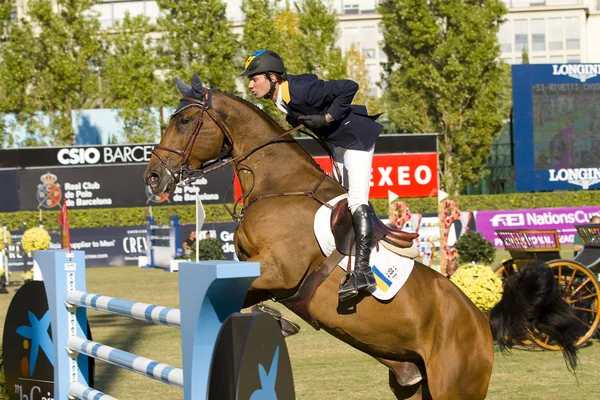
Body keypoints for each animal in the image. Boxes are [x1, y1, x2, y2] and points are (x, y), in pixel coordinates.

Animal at [146, 73, 584, 398]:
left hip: (456, 387)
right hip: (413, 384)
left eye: (183, 121)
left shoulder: (281, 272)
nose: (152, 177)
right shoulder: (260, 268)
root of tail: (482, 320)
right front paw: (276, 320)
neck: (278, 186)